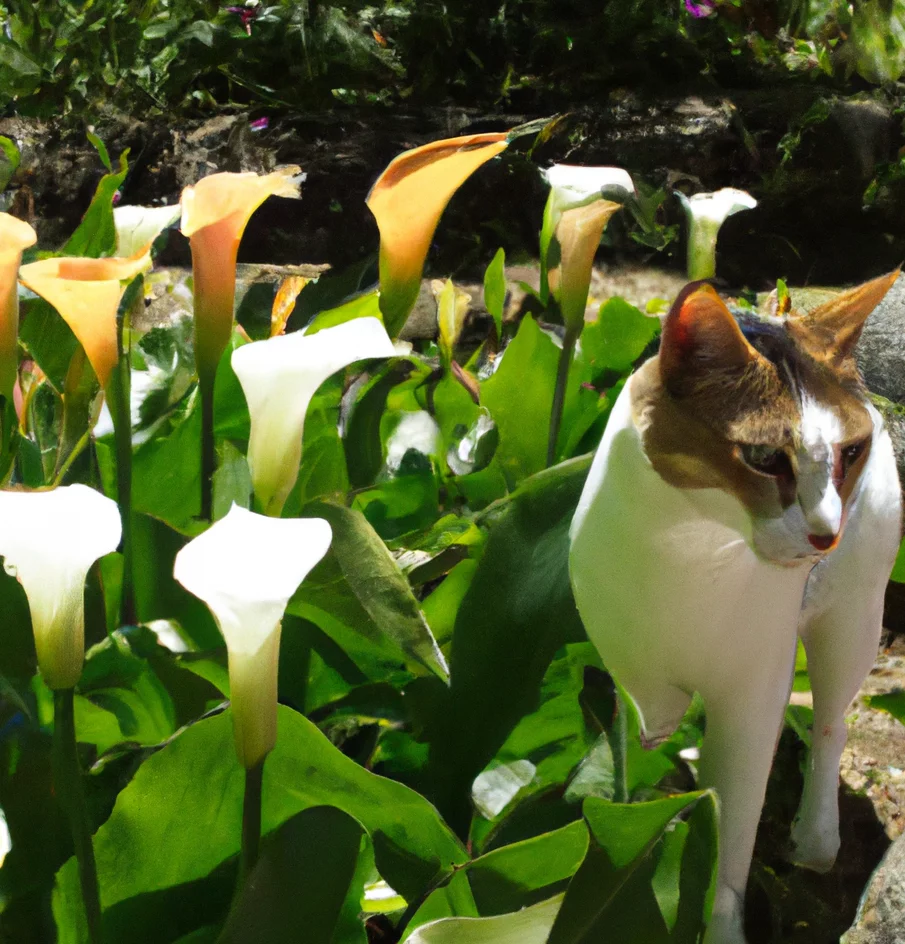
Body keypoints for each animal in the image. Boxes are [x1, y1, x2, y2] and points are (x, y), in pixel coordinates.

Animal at [568, 272, 900, 944]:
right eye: (764, 459)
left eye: (850, 453)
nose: (826, 534)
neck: (688, 550)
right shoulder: (626, 667)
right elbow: (647, 734)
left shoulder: (754, 694)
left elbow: (728, 828)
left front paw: (720, 923)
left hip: (854, 613)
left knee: (832, 720)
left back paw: (816, 839)